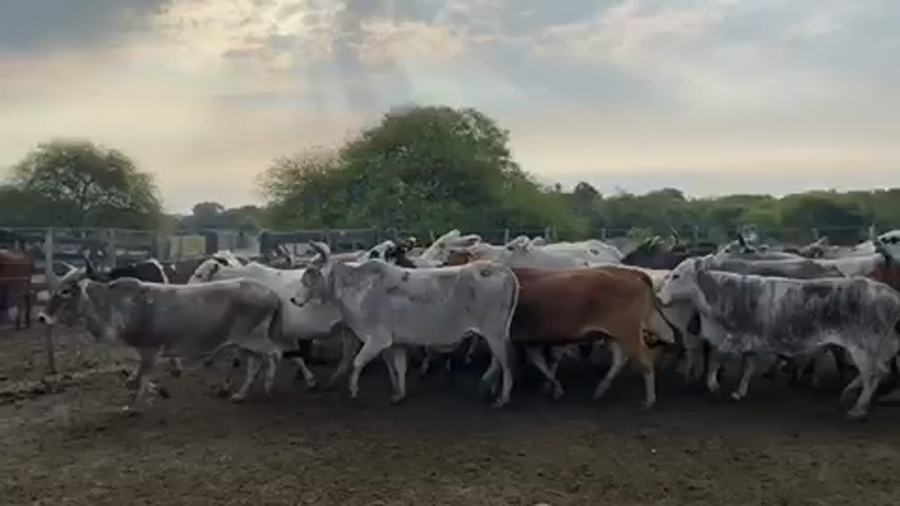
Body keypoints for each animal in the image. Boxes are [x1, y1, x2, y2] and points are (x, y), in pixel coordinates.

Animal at [37, 267, 287, 413]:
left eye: (66, 291)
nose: (42, 317)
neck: (115, 307)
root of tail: (272, 294)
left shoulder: (150, 349)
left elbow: (141, 378)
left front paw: (134, 405)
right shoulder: (141, 354)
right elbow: (139, 378)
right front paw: (156, 392)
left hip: (254, 339)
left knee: (274, 355)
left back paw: (268, 387)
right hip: (246, 344)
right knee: (257, 363)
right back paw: (241, 394)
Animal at [290, 241, 519, 408]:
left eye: (310, 273)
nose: (294, 299)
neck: (358, 287)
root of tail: (502, 270)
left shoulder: (377, 340)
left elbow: (357, 363)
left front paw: (353, 391)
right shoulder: (395, 343)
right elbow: (397, 369)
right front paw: (398, 394)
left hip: (494, 333)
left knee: (506, 362)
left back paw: (502, 398)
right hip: (495, 334)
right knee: (498, 361)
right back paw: (488, 389)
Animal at [657, 258, 900, 420]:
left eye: (676, 275)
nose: (658, 298)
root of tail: (887, 293)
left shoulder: (731, 339)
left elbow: (716, 361)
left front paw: (714, 386)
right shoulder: (750, 341)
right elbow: (747, 367)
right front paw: (739, 391)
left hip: (863, 347)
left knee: (872, 376)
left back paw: (858, 408)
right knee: (877, 372)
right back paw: (848, 393)